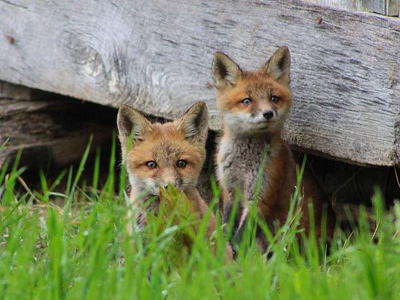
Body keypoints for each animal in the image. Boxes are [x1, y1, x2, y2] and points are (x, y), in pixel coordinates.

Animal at [212, 46, 334, 248]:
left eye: (274, 98)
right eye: (247, 101)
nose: (268, 113)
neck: (244, 164)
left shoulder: (261, 195)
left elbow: (241, 237)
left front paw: (234, 254)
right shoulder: (229, 191)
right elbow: (228, 226)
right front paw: (225, 248)